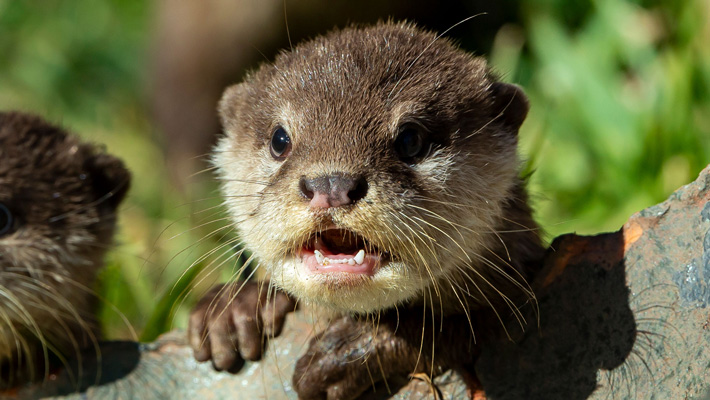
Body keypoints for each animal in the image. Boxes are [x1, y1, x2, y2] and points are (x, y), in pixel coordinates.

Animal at [189, 22, 544, 400]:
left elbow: (464, 328)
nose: (331, 185)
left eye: (410, 139)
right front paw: (234, 309)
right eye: (279, 140)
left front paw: (346, 353)